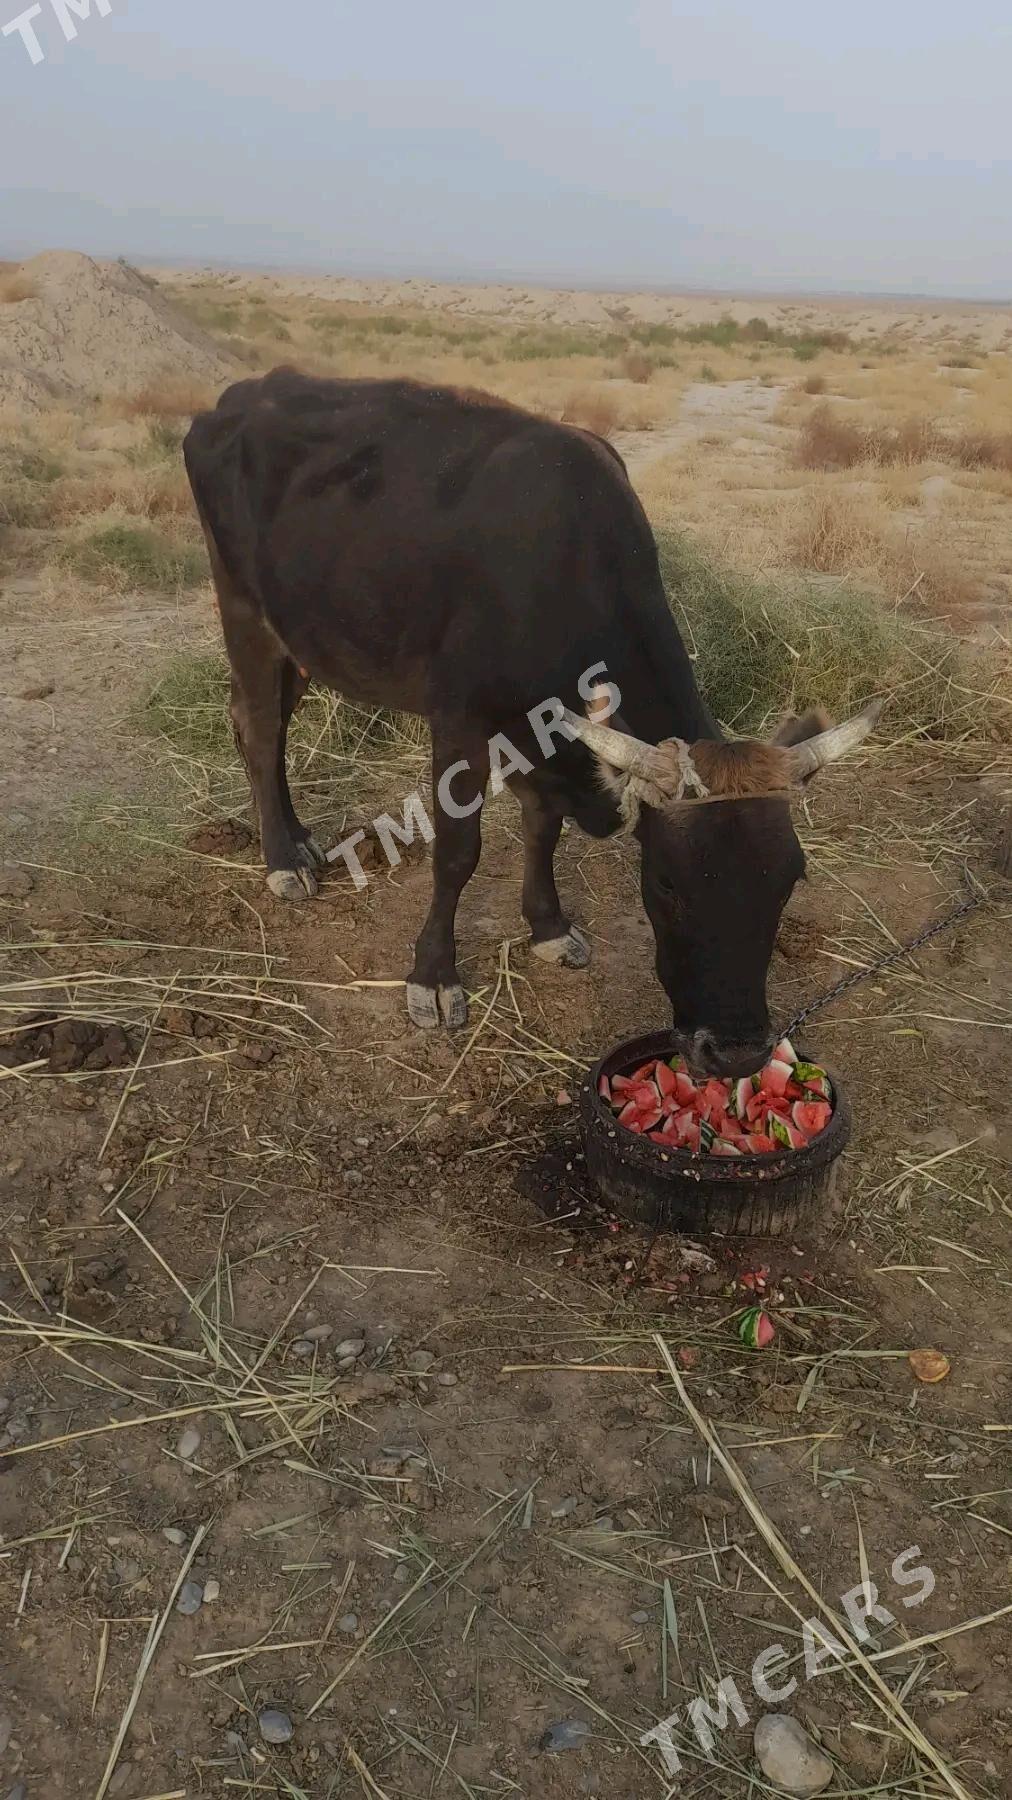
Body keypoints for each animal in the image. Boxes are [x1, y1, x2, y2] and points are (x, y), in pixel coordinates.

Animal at [185, 361, 878, 1065]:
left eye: (790, 879)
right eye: (666, 884)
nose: (737, 1052)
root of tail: (241, 395)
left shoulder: (537, 732)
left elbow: (543, 825)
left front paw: (548, 925)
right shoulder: (458, 718)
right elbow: (458, 850)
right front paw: (434, 976)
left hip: (303, 637)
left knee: (264, 723)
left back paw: (299, 840)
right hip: (243, 610)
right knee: (259, 727)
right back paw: (283, 862)